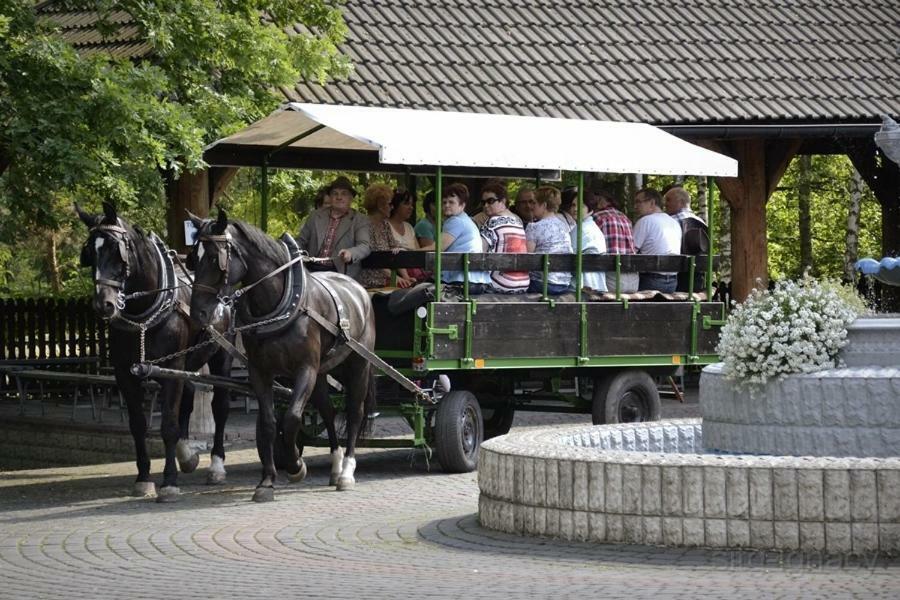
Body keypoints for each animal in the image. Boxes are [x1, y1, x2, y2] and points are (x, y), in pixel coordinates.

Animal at [77, 203, 234, 502]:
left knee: (220, 406)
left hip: (221, 355)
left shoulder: (174, 365)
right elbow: (138, 425)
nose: (104, 304)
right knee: (189, 396)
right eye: (90, 252)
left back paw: (217, 466)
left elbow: (168, 426)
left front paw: (169, 481)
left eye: (116, 250)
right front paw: (143, 479)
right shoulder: (126, 373)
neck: (145, 313)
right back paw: (187, 456)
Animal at [188, 210, 374, 502]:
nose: (198, 313)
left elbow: (292, 418)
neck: (280, 303)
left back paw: (346, 471)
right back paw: (335, 465)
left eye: (214, 259)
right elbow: (268, 423)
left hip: (359, 364)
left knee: (355, 412)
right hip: (325, 372)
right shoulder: (260, 372)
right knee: (328, 410)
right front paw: (267, 481)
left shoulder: (305, 369)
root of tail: (358, 289)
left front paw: (296, 466)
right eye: (192, 258)